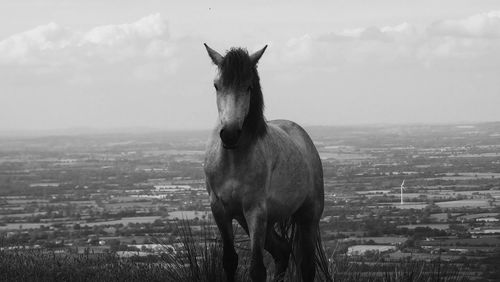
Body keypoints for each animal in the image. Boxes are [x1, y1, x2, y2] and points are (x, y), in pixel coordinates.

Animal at [201, 44, 330, 282]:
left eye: (249, 86)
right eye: (216, 86)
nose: (230, 135)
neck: (233, 160)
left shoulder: (255, 211)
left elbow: (257, 269)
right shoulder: (220, 210)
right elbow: (229, 261)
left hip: (307, 217)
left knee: (306, 265)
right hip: (258, 221)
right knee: (282, 250)